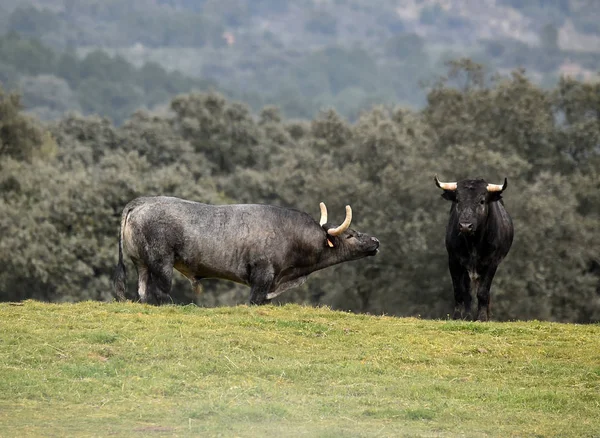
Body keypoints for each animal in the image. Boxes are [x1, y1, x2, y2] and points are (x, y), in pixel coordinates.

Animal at [112, 198, 380, 304]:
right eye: (350, 234)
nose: (375, 240)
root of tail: (141, 202)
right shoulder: (262, 276)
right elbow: (254, 300)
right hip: (162, 263)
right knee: (161, 292)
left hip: (142, 264)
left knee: (143, 292)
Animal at [434, 175, 512, 322]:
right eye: (458, 200)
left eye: (482, 201)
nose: (465, 226)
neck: (473, 243)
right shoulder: (454, 260)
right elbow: (459, 290)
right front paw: (458, 317)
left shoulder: (492, 263)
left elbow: (483, 291)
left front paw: (481, 317)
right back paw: (468, 315)